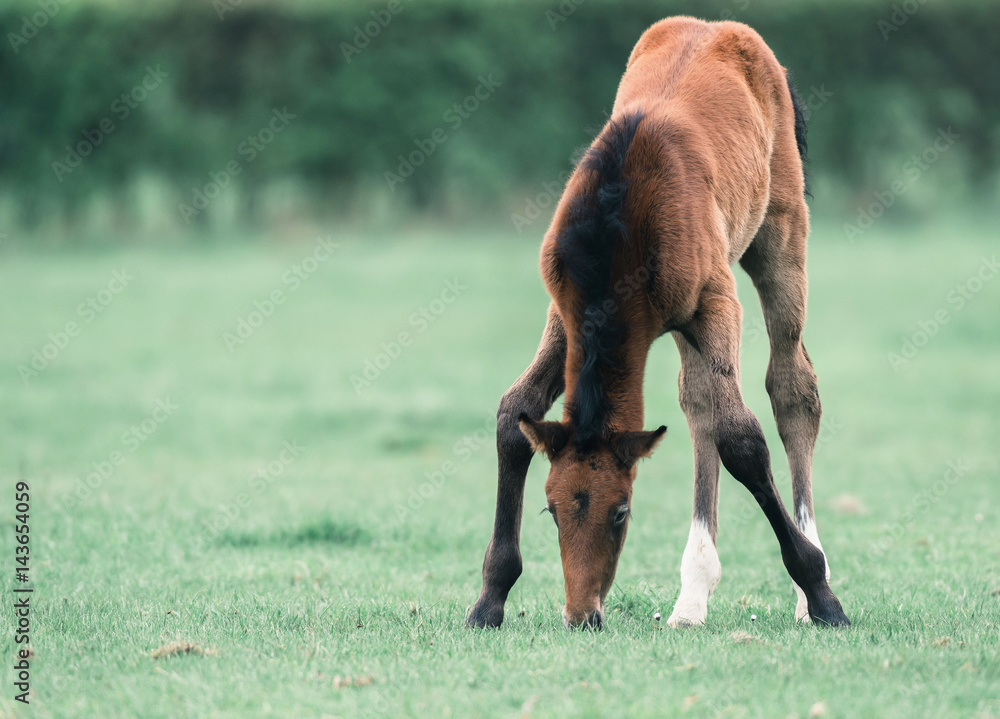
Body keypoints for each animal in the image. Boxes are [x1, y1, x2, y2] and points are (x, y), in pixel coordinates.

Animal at [467, 16, 849, 630]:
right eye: (551, 510)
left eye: (622, 512)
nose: (583, 615)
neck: (615, 232)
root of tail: (720, 27)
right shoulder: (564, 311)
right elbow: (512, 413)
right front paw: (489, 599)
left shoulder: (716, 303)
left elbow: (743, 440)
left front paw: (820, 592)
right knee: (698, 403)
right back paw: (692, 597)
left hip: (781, 236)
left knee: (792, 388)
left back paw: (804, 587)